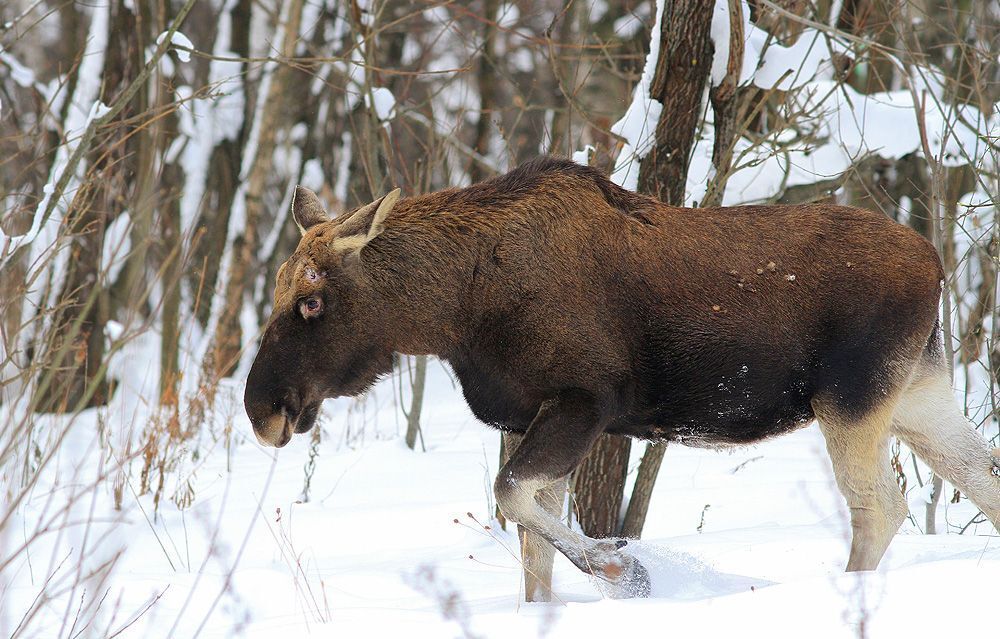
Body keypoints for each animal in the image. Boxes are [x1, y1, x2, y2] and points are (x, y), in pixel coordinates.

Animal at [244, 156, 1000, 598]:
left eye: (311, 300)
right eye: (279, 288)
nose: (263, 408)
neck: (456, 310)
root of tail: (936, 264)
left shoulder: (586, 401)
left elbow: (513, 497)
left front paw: (623, 569)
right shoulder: (534, 414)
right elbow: (534, 551)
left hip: (852, 399)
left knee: (883, 504)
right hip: (917, 394)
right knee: (980, 476)